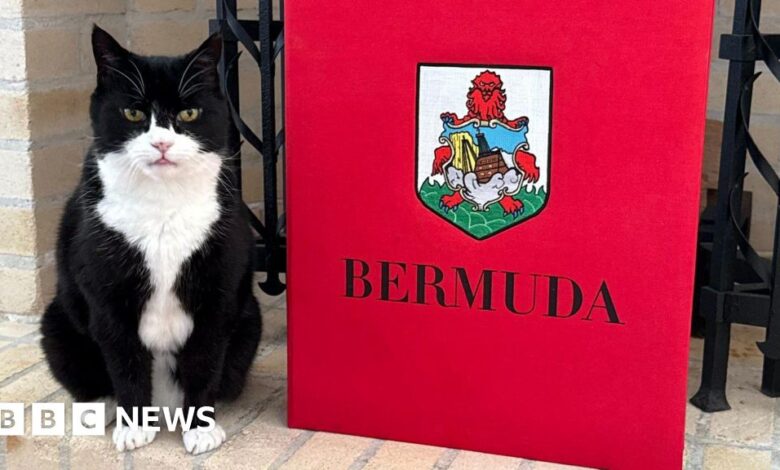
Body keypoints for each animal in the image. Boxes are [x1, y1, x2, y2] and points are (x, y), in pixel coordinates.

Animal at [40, 26, 262, 456]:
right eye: (133, 113)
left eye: (189, 114)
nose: (162, 144)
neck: (162, 204)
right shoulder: (107, 297)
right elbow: (125, 361)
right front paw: (133, 426)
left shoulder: (218, 292)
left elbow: (204, 359)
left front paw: (199, 427)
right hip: (56, 324)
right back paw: (102, 410)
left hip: (250, 323)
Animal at [430, 70, 540, 217]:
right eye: (482, 84)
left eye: (491, 84)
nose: (487, 90)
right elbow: (442, 148)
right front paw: (449, 118)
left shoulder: (503, 120)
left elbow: (526, 154)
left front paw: (521, 122)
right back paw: (451, 199)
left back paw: (512, 203)